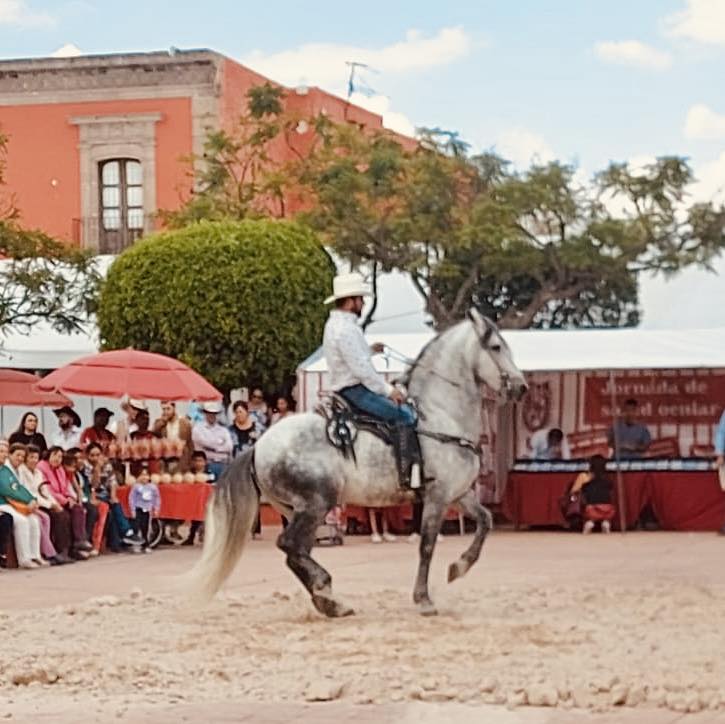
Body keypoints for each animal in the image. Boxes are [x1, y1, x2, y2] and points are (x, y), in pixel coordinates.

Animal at [188, 310, 528, 616]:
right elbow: (427, 545)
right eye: (496, 347)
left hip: (297, 509)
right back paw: (327, 594)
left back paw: (328, 599)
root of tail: (258, 446)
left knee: (297, 552)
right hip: (316, 504)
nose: (521, 386)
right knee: (289, 545)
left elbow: (485, 521)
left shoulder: (458, 494)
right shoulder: (437, 496)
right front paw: (424, 599)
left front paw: (458, 567)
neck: (439, 417)